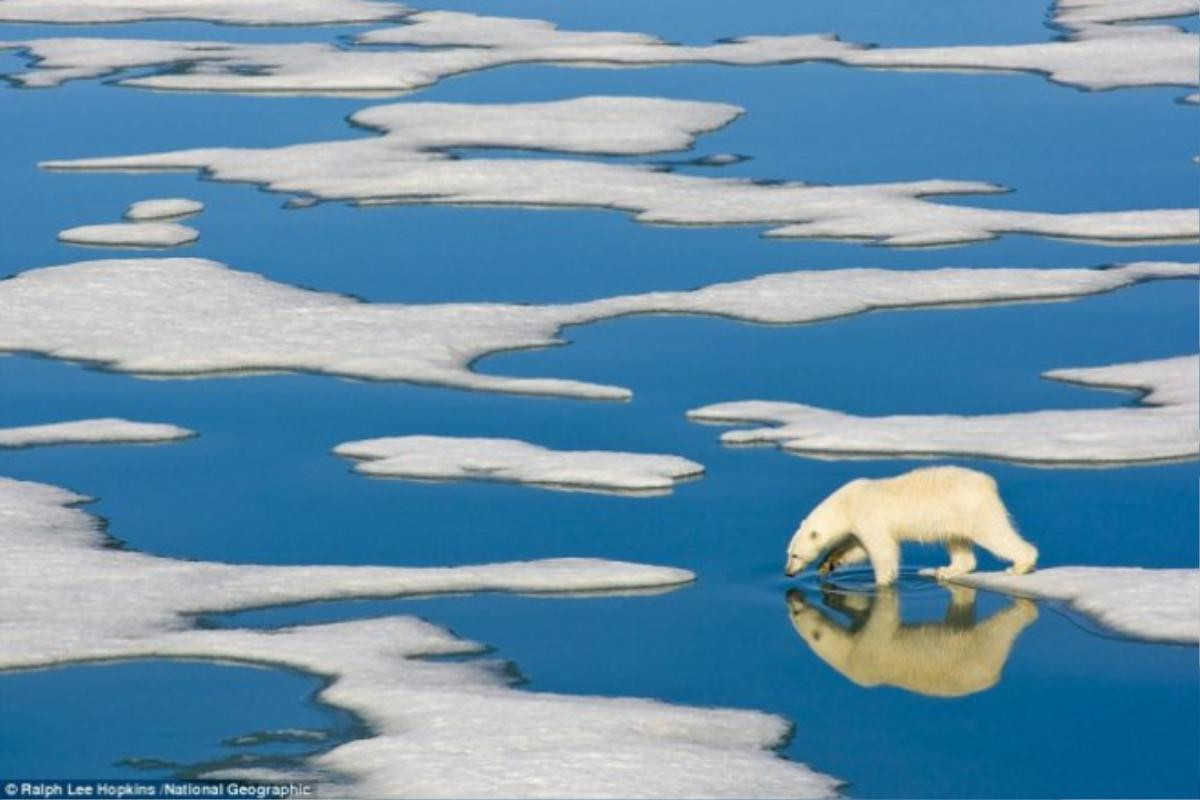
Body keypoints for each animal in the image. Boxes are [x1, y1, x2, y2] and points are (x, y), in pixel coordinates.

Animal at [787, 462, 1032, 587]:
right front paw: (827, 563)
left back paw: (1019, 566)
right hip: (953, 517)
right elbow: (858, 549)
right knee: (956, 541)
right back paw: (947, 570)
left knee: (994, 534)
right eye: (788, 553)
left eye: (795, 555)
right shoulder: (859, 526)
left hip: (973, 509)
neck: (846, 504)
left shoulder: (869, 518)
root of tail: (989, 482)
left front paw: (881, 583)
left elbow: (883, 551)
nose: (788, 573)